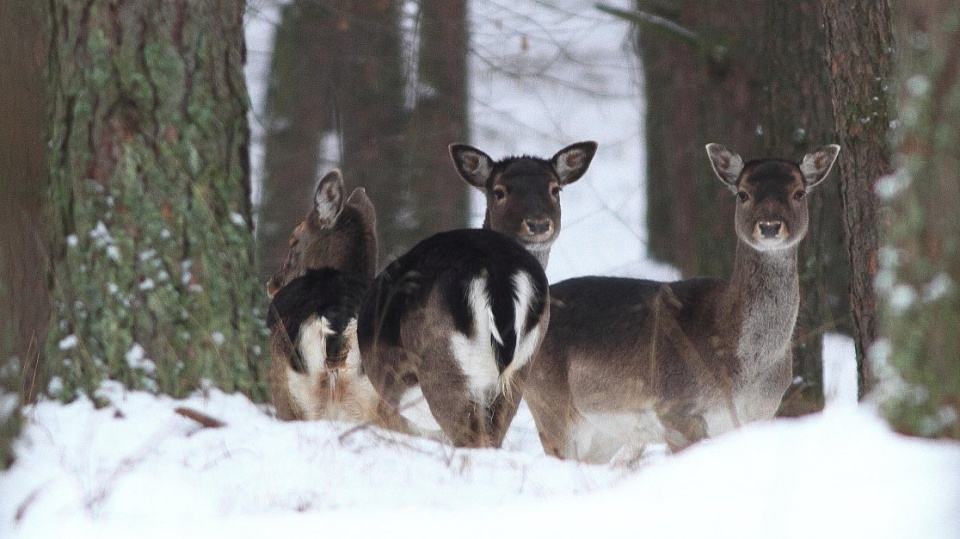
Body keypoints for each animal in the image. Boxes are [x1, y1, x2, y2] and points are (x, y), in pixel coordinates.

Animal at [520, 142, 844, 464]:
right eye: (743, 193)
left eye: (799, 192)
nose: (769, 227)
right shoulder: (675, 410)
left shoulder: (760, 415)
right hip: (550, 405)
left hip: (600, 436)